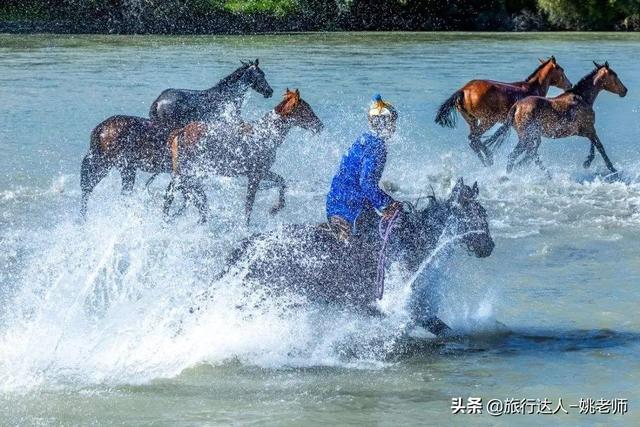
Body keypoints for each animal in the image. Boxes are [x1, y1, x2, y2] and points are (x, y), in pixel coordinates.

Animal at [165, 89, 324, 226]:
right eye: (306, 109)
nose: (320, 126)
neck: (267, 134)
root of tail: (182, 131)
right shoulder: (255, 175)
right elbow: (249, 206)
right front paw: (246, 227)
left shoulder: (262, 172)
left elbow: (281, 182)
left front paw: (275, 209)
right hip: (191, 172)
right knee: (180, 193)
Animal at [436, 58, 568, 167]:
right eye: (562, 70)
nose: (569, 84)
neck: (533, 88)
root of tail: (463, 90)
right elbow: (533, 144)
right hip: (488, 120)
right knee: (474, 138)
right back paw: (489, 157)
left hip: (472, 121)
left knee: (473, 140)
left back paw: (487, 160)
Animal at [488, 61, 628, 175]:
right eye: (615, 75)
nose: (625, 90)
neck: (582, 98)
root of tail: (517, 106)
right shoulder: (589, 129)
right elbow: (600, 147)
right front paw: (612, 169)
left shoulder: (585, 131)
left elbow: (593, 145)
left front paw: (587, 162)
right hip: (526, 137)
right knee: (516, 155)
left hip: (528, 137)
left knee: (527, 154)